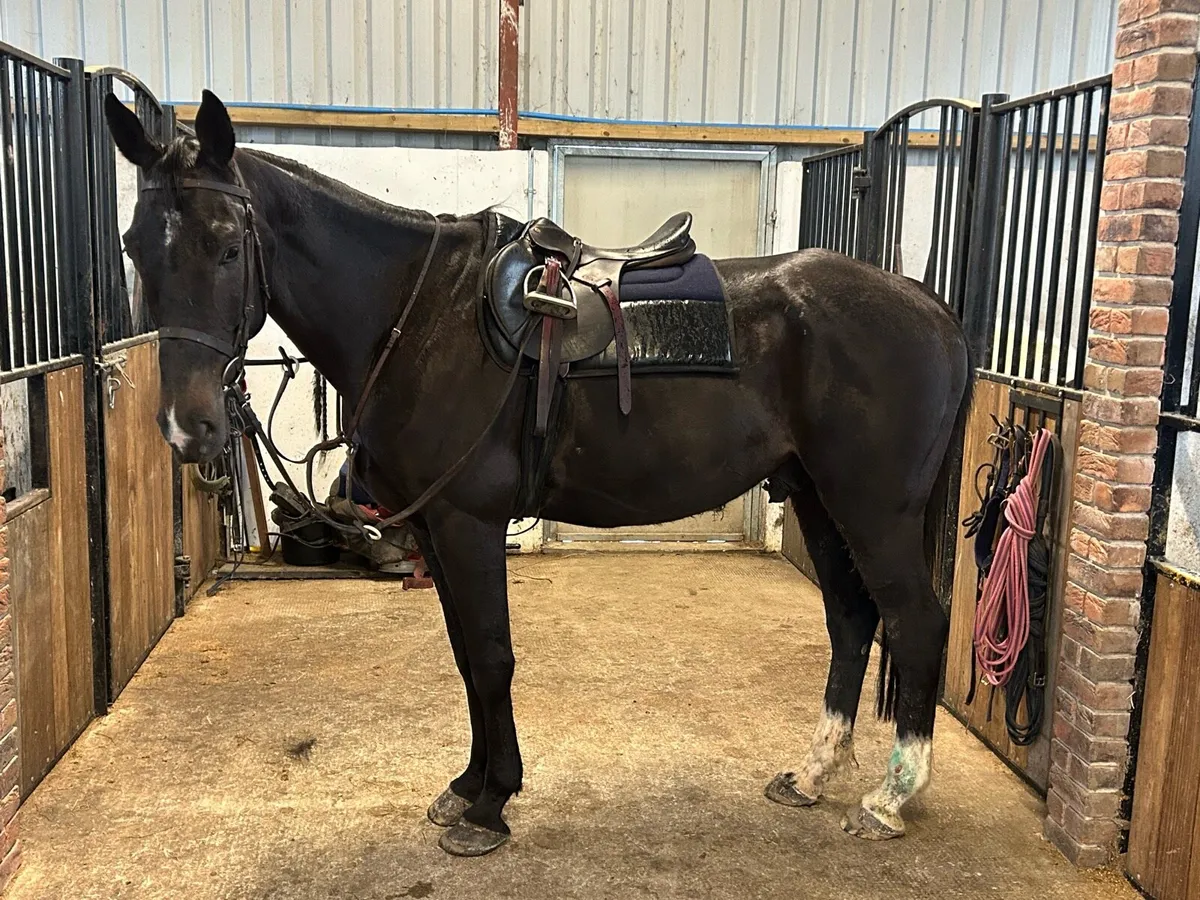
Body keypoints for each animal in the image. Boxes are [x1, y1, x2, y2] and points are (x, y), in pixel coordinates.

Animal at [105, 89, 974, 857]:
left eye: (227, 245)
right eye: (135, 247)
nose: (188, 427)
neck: (421, 315)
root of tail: (927, 305)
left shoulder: (468, 522)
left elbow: (491, 657)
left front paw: (490, 807)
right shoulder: (436, 529)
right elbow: (465, 657)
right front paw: (466, 785)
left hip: (873, 510)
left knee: (915, 622)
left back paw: (890, 798)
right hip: (821, 501)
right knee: (852, 620)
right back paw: (814, 774)